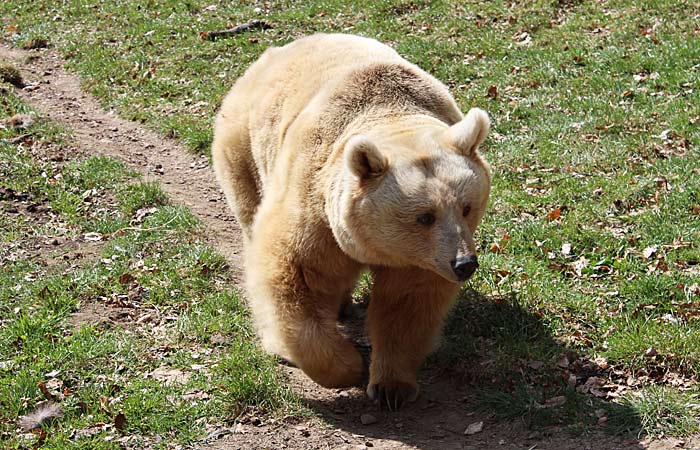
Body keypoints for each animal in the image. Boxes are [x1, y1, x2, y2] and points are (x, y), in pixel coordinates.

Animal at [212, 33, 491, 411]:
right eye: (424, 215)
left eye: (466, 206)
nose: (465, 263)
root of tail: (275, 52)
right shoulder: (315, 204)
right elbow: (295, 275)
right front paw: (347, 366)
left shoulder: (420, 258)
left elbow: (407, 303)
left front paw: (392, 385)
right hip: (245, 150)